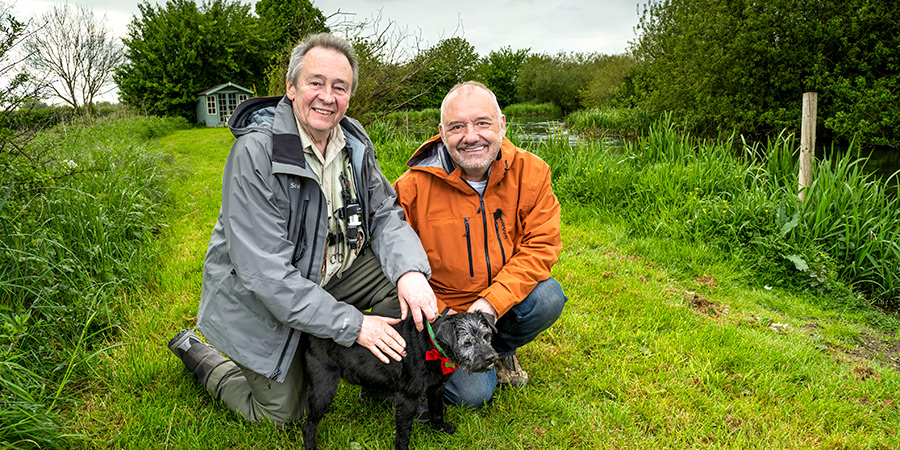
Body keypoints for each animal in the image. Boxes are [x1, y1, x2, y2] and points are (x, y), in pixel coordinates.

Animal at [302, 312, 500, 450]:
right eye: (467, 343)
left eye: (486, 336)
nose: (491, 358)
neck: (431, 345)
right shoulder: (407, 398)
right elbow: (404, 431)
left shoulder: (436, 388)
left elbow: (437, 411)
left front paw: (441, 428)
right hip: (324, 389)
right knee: (308, 426)